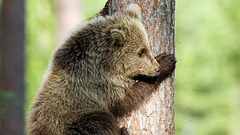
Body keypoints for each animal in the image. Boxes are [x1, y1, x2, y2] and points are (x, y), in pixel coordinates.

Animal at [26, 3, 176, 135]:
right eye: (142, 51)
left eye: (147, 48)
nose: (157, 68)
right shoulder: (99, 83)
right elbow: (126, 99)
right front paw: (167, 61)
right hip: (73, 119)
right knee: (102, 122)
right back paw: (122, 131)